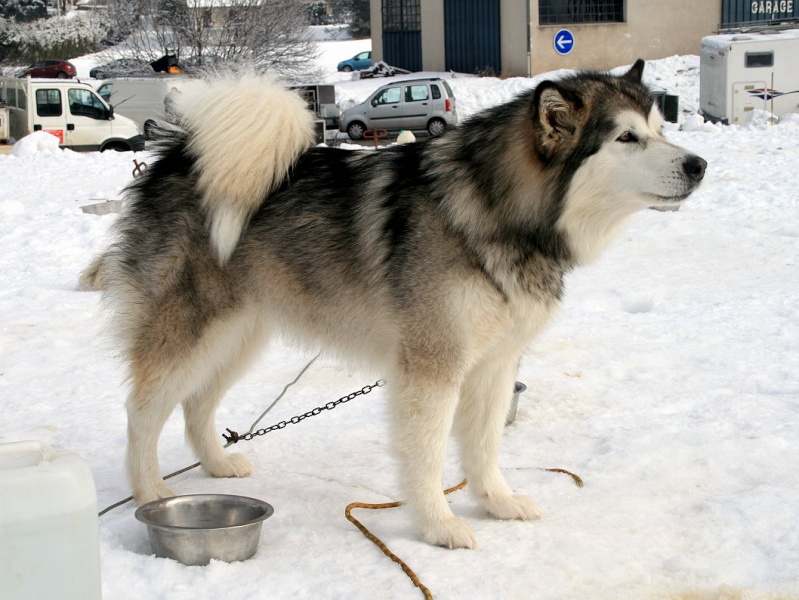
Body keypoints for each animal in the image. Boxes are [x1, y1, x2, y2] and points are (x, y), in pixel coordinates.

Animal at [98, 59, 708, 548]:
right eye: (626, 138)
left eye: (660, 129)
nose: (698, 165)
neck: (497, 210)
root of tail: (180, 154)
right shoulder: (433, 365)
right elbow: (430, 454)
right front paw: (439, 526)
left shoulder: (494, 364)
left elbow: (484, 446)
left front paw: (497, 503)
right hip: (190, 331)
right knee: (139, 413)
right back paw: (150, 493)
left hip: (240, 335)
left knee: (197, 404)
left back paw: (218, 463)